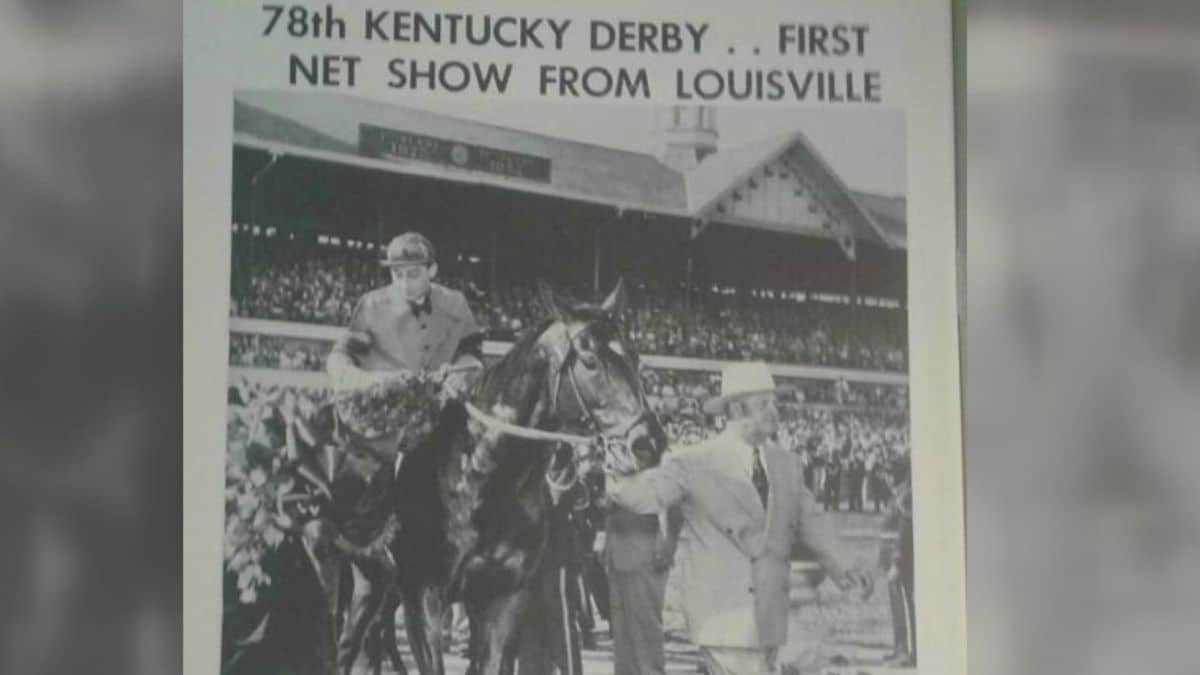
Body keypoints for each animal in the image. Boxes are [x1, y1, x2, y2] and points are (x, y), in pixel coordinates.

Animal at [398, 279, 667, 672]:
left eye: (635, 357)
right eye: (589, 358)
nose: (649, 442)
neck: (479, 481)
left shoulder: (504, 597)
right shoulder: (423, 597)